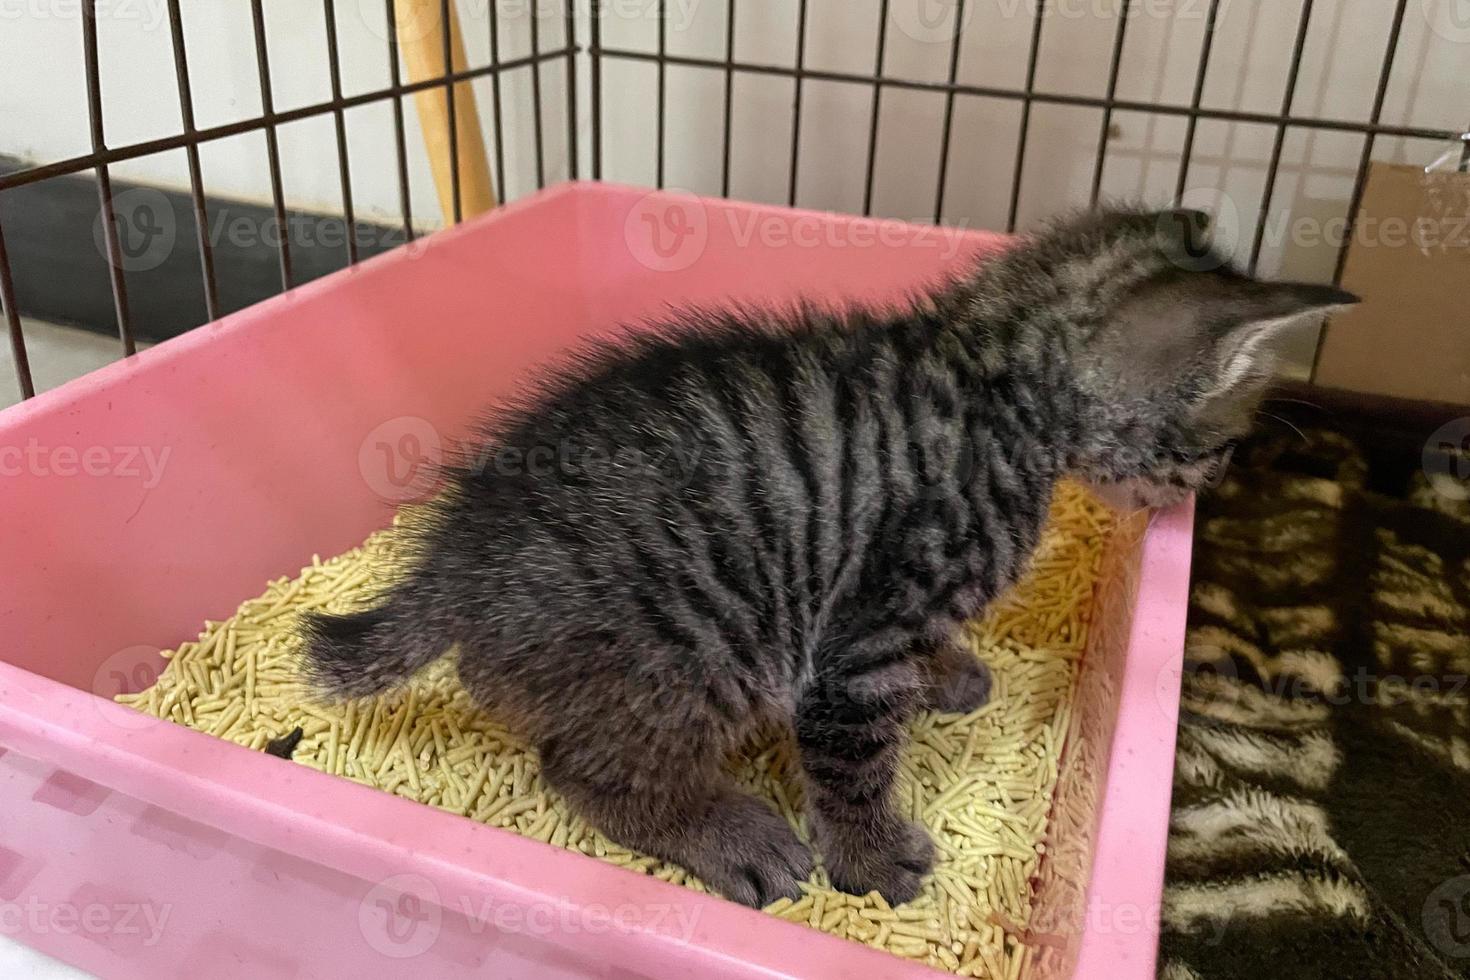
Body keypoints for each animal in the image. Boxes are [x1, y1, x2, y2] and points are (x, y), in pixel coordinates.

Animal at [298, 208, 1352, 910]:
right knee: (585, 768)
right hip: (696, 654)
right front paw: (870, 859)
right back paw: (729, 835)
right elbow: (852, 759)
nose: (1209, 484)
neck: (992, 383)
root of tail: (457, 562)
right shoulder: (862, 632)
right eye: (1220, 445)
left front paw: (950, 670)